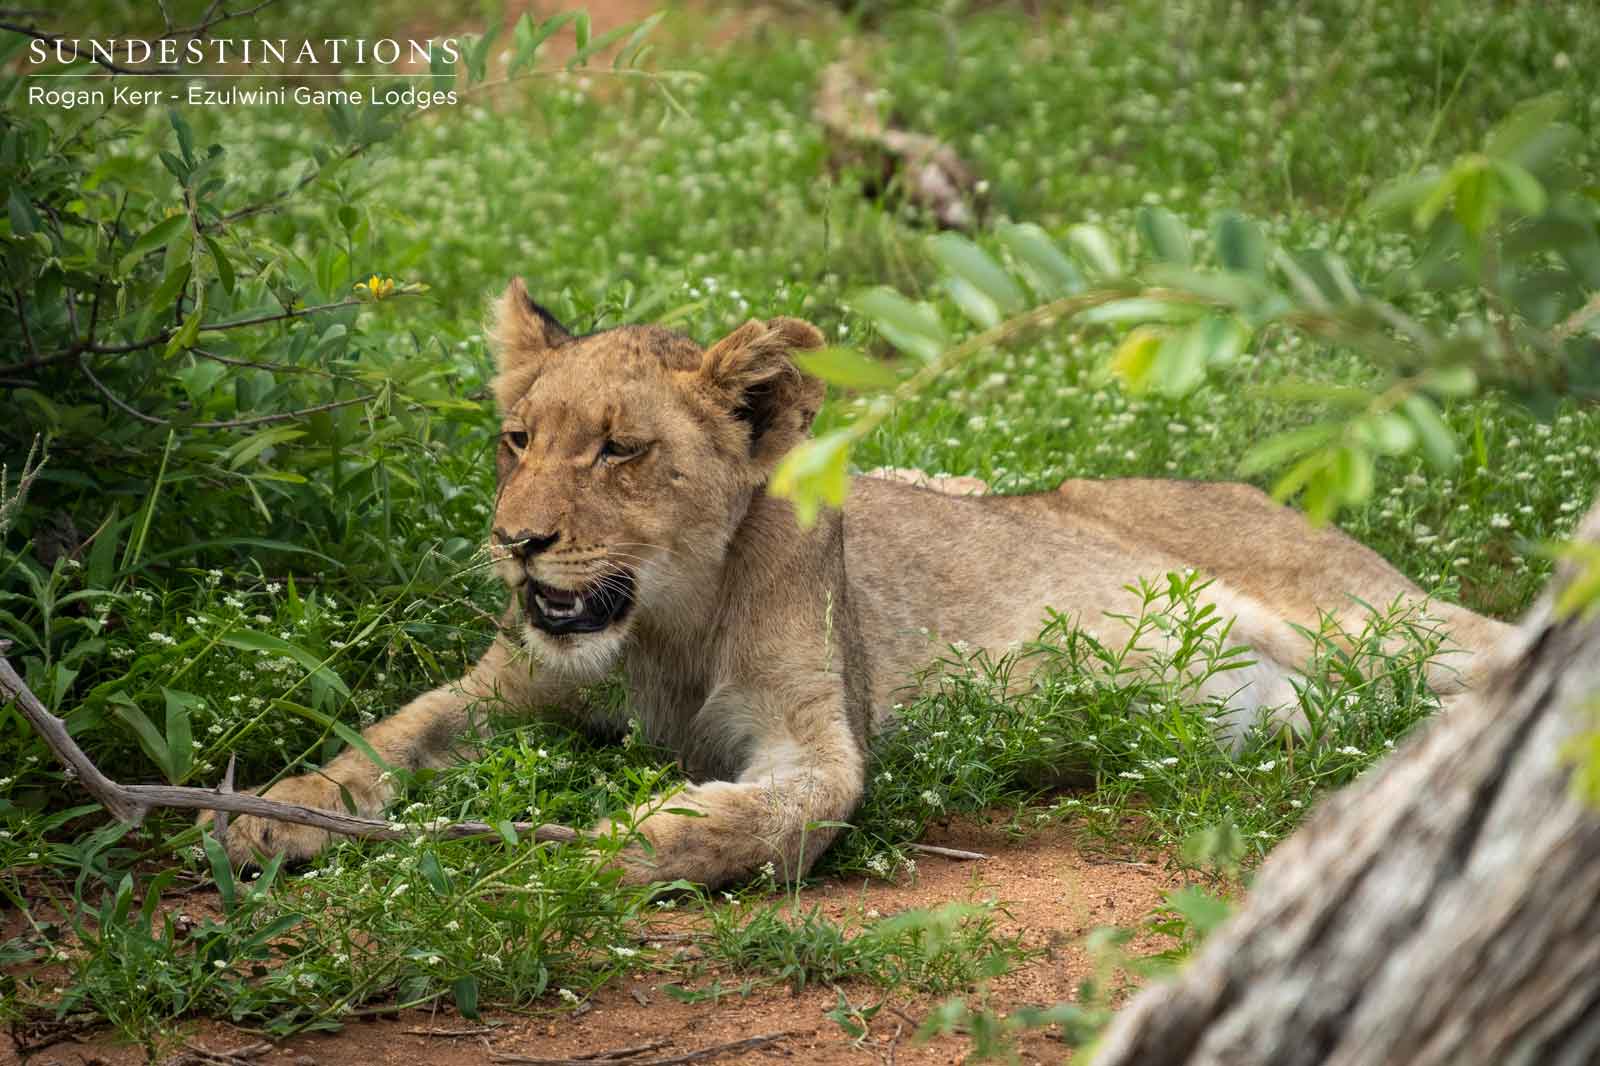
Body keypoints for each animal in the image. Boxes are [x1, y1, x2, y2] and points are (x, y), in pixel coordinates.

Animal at [206, 279, 1513, 886]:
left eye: (620, 450)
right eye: (516, 440)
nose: (513, 541)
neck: (663, 626)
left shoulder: (819, 729)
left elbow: (775, 812)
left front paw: (603, 842)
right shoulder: (506, 688)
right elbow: (386, 735)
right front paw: (265, 814)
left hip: (1369, 616)